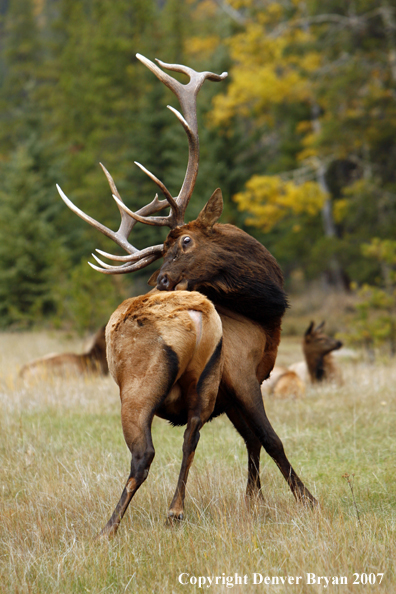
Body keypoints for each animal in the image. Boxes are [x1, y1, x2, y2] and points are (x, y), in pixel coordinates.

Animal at [57, 54, 318, 536]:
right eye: (168, 247)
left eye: (184, 241)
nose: (159, 281)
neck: (265, 317)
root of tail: (195, 313)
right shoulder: (243, 377)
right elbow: (268, 441)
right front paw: (296, 500)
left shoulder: (231, 385)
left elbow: (255, 442)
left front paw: (259, 501)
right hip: (162, 384)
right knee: (162, 447)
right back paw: (131, 521)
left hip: (164, 386)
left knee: (166, 444)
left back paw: (149, 517)